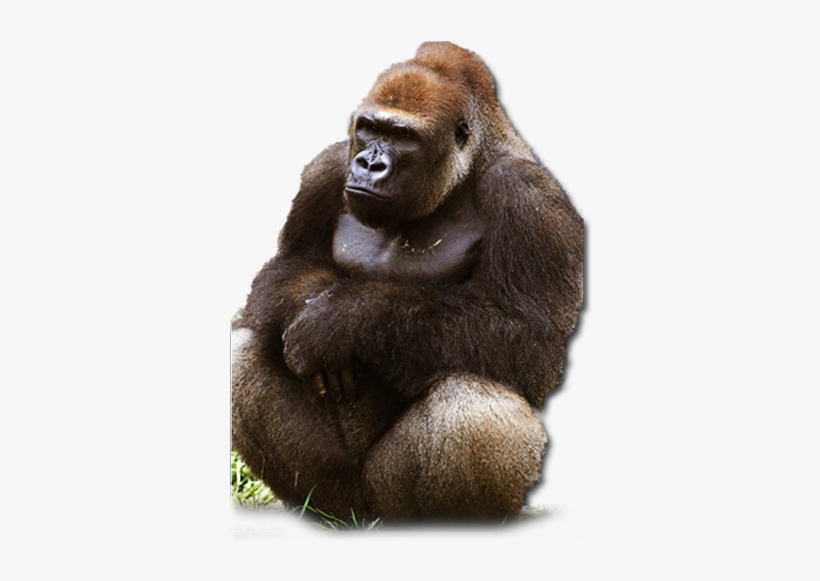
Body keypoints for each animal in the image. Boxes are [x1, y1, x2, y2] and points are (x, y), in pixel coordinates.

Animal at [231, 42, 583, 520]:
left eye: (403, 136)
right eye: (369, 128)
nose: (368, 164)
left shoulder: (530, 198)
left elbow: (531, 342)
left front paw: (340, 319)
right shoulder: (326, 168)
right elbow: (280, 274)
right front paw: (313, 303)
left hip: (392, 499)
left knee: (473, 408)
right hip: (343, 497)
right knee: (245, 349)